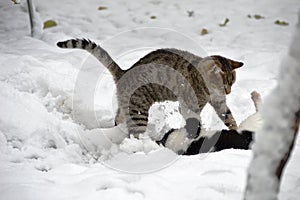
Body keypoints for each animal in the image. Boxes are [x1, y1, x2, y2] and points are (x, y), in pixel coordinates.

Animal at [56, 39, 244, 139]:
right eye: (224, 83)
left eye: (232, 82)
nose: (228, 91)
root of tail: (124, 72)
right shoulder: (189, 105)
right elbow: (194, 121)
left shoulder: (219, 103)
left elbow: (229, 118)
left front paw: (237, 130)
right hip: (139, 113)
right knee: (135, 133)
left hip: (127, 108)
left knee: (119, 119)